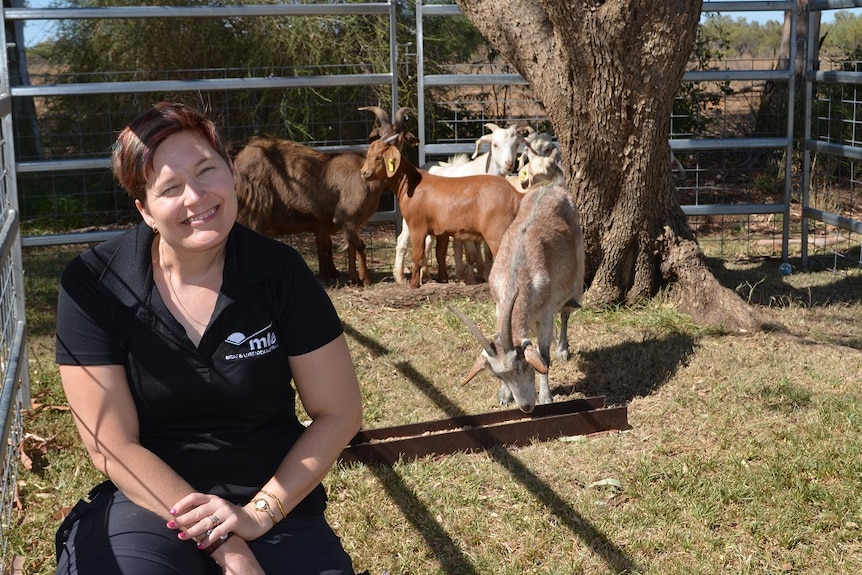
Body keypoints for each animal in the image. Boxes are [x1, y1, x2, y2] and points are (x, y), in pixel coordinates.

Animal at [233, 136, 388, 288]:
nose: (366, 173)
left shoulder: (327, 224)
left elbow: (335, 248)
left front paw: (341, 275)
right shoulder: (341, 219)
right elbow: (352, 247)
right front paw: (361, 279)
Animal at [362, 134, 524, 288]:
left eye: (378, 157)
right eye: (368, 155)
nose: (364, 172)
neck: (413, 184)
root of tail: (514, 194)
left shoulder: (417, 227)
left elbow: (417, 255)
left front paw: (414, 285)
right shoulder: (438, 230)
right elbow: (437, 252)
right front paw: (439, 280)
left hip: (496, 232)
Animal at [452, 184, 588, 414]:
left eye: (524, 365)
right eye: (498, 376)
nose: (525, 406)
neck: (519, 272)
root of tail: (552, 187)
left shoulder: (545, 315)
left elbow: (544, 357)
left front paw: (546, 397)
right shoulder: (499, 306)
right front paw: (504, 395)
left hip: (576, 273)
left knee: (565, 312)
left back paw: (562, 349)